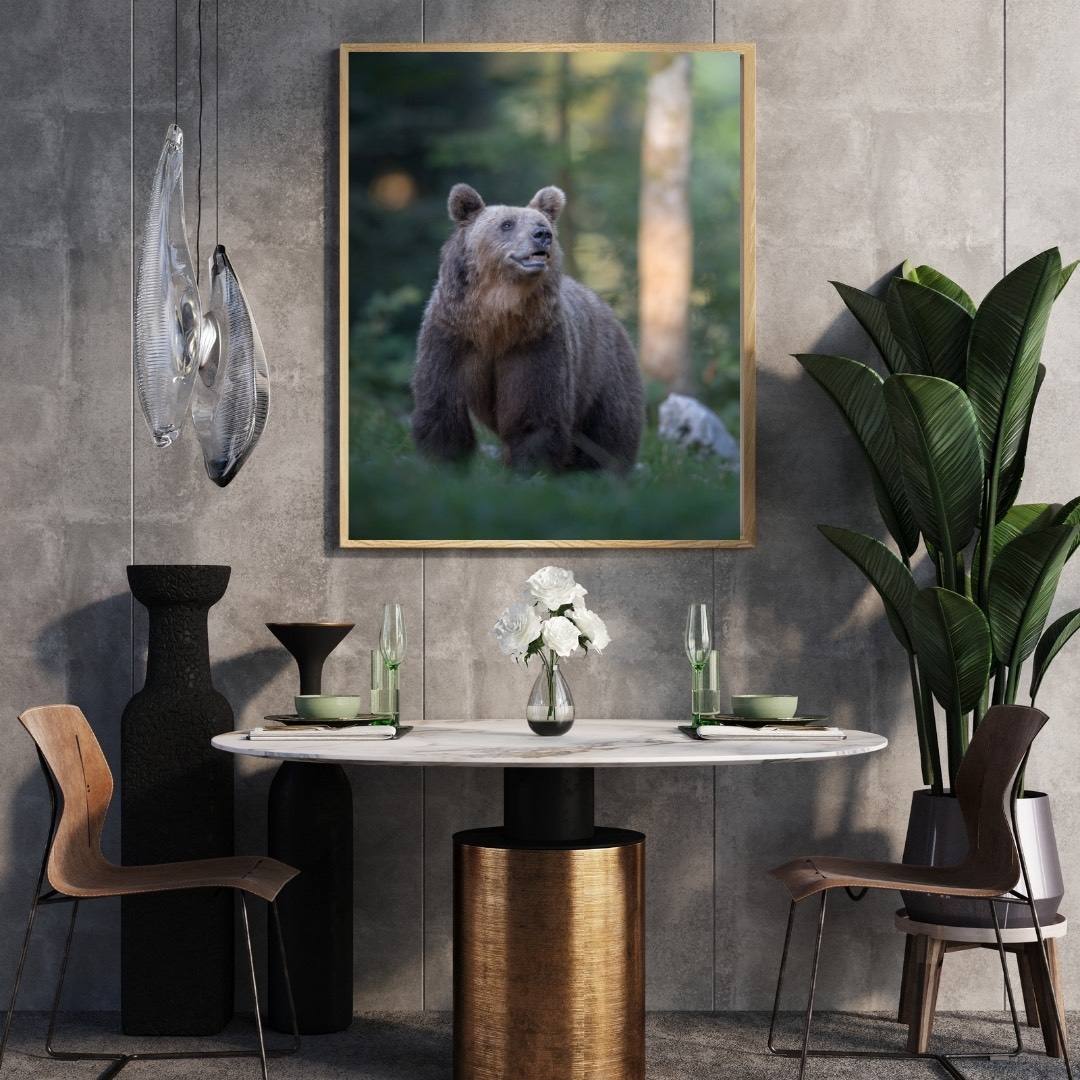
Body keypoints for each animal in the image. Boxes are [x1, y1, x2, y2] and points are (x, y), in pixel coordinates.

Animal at [410, 183, 644, 473]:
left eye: (541, 222)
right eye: (507, 224)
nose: (543, 235)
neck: (495, 321)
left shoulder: (535, 344)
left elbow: (534, 416)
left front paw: (531, 470)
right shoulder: (450, 338)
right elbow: (442, 409)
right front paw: (444, 464)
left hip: (604, 373)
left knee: (608, 434)